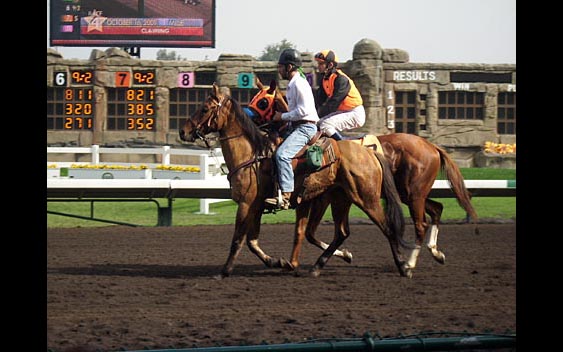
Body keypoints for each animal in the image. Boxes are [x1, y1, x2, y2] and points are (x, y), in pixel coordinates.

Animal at [178, 83, 416, 278]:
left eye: (205, 108)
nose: (183, 131)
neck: (252, 156)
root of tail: (369, 152)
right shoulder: (258, 206)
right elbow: (253, 241)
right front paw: (279, 262)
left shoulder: (246, 204)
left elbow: (238, 239)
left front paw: (224, 271)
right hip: (340, 199)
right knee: (341, 232)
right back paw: (319, 266)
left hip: (367, 198)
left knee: (388, 228)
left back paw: (404, 267)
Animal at [249, 80, 478, 270]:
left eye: (262, 102)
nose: (247, 116)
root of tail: (431, 145)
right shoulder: (326, 197)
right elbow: (312, 233)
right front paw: (344, 254)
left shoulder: (322, 197)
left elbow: (313, 232)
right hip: (410, 194)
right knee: (437, 209)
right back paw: (436, 252)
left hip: (413, 195)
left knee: (421, 224)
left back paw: (410, 262)